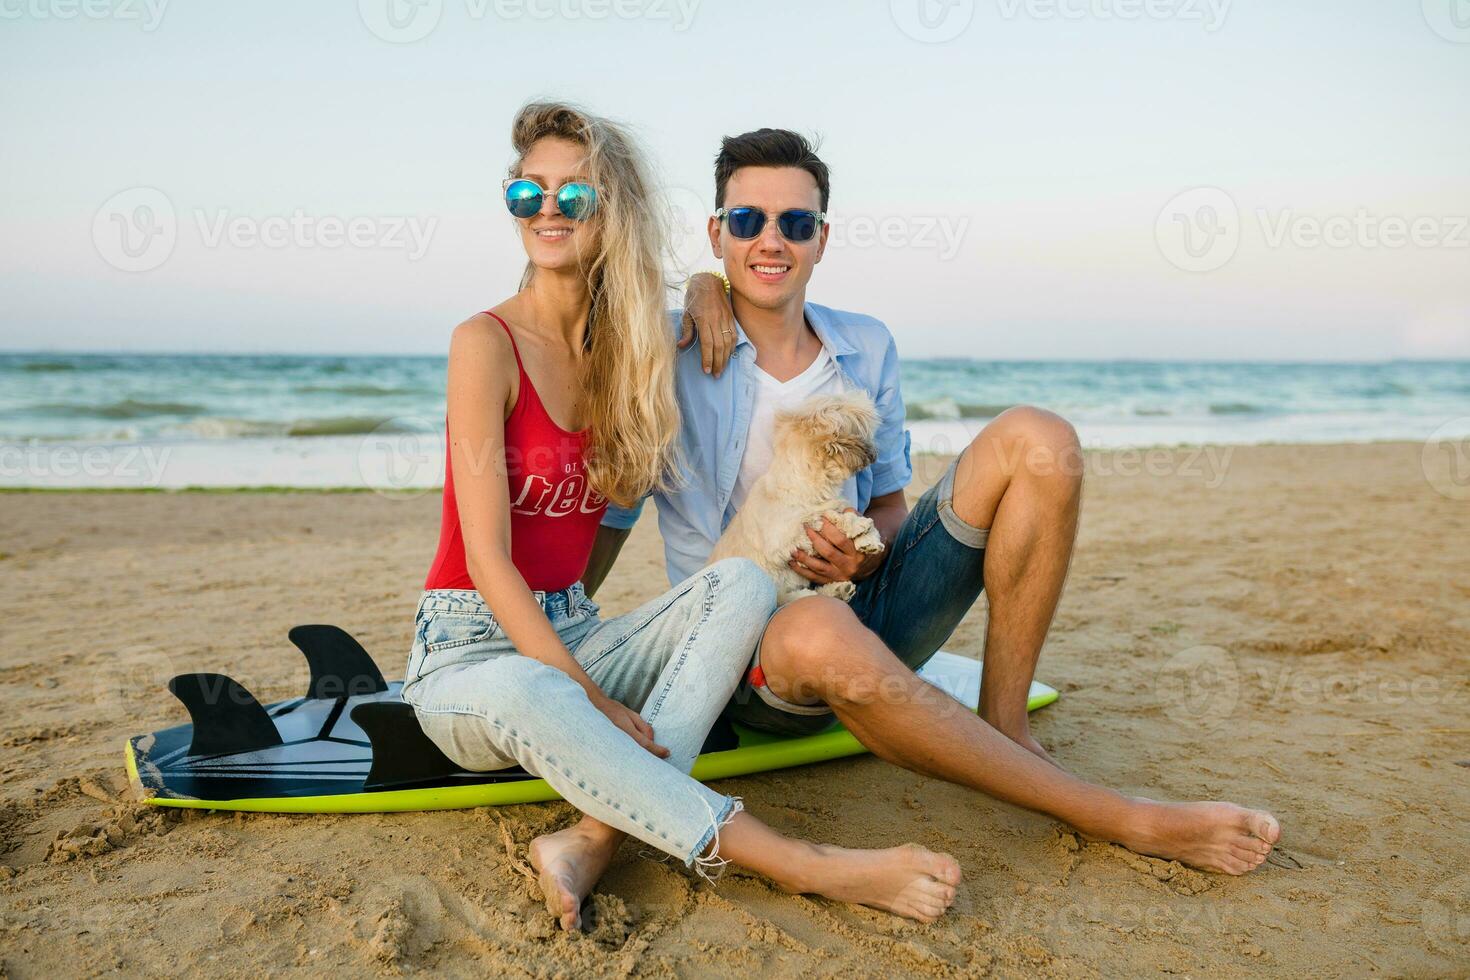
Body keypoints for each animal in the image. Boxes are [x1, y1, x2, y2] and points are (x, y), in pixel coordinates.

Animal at [708, 387, 882, 605]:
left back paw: (838, 590)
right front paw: (856, 526)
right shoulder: (784, 540)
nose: (875, 450)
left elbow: (845, 515)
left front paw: (869, 541)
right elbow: (818, 518)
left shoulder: (836, 505)